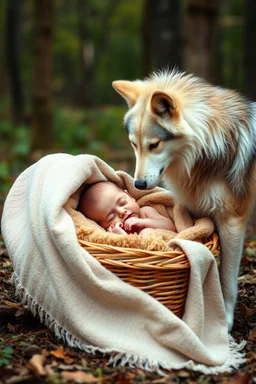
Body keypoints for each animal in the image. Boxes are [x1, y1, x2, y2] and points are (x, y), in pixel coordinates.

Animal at [113, 70, 256, 330]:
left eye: (154, 144)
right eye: (134, 144)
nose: (138, 185)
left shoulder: (232, 221)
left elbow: (227, 280)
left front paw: (224, 322)